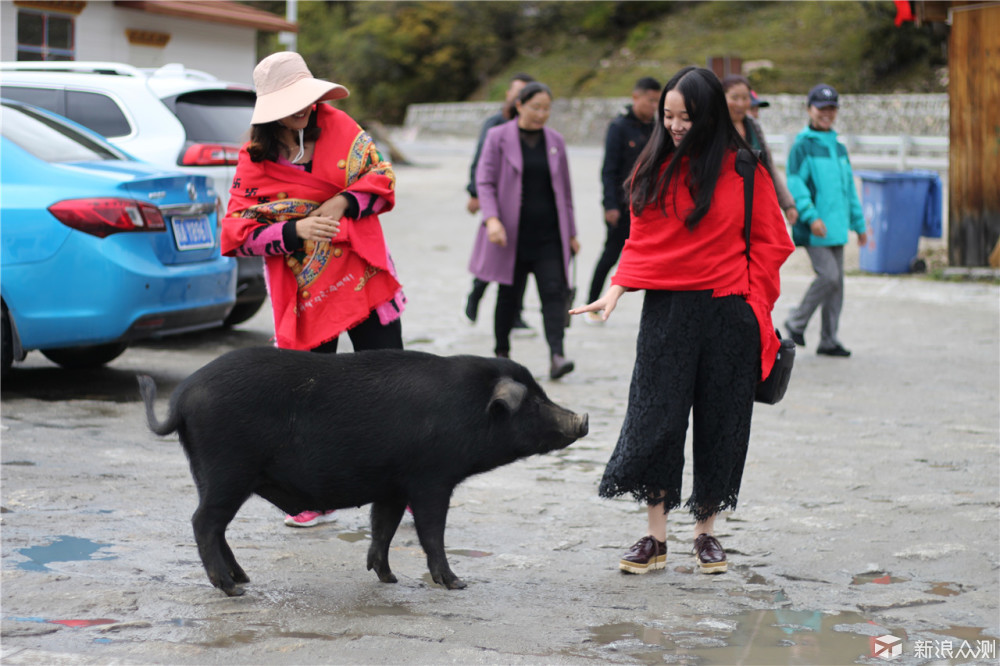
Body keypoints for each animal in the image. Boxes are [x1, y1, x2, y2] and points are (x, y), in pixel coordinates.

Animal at [142, 344, 592, 592]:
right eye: (534, 401)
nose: (582, 419)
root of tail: (181, 397)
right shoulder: (431, 478)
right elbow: (431, 532)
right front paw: (457, 583)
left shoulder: (392, 484)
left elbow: (383, 527)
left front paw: (387, 578)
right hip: (227, 469)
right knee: (203, 522)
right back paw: (232, 589)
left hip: (210, 472)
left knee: (216, 527)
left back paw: (243, 579)